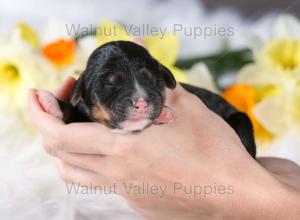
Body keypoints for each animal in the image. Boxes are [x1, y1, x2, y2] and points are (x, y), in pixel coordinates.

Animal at [38, 40, 256, 158]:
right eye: (110, 83)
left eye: (150, 79)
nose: (141, 102)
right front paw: (49, 101)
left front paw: (164, 114)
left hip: (240, 118)